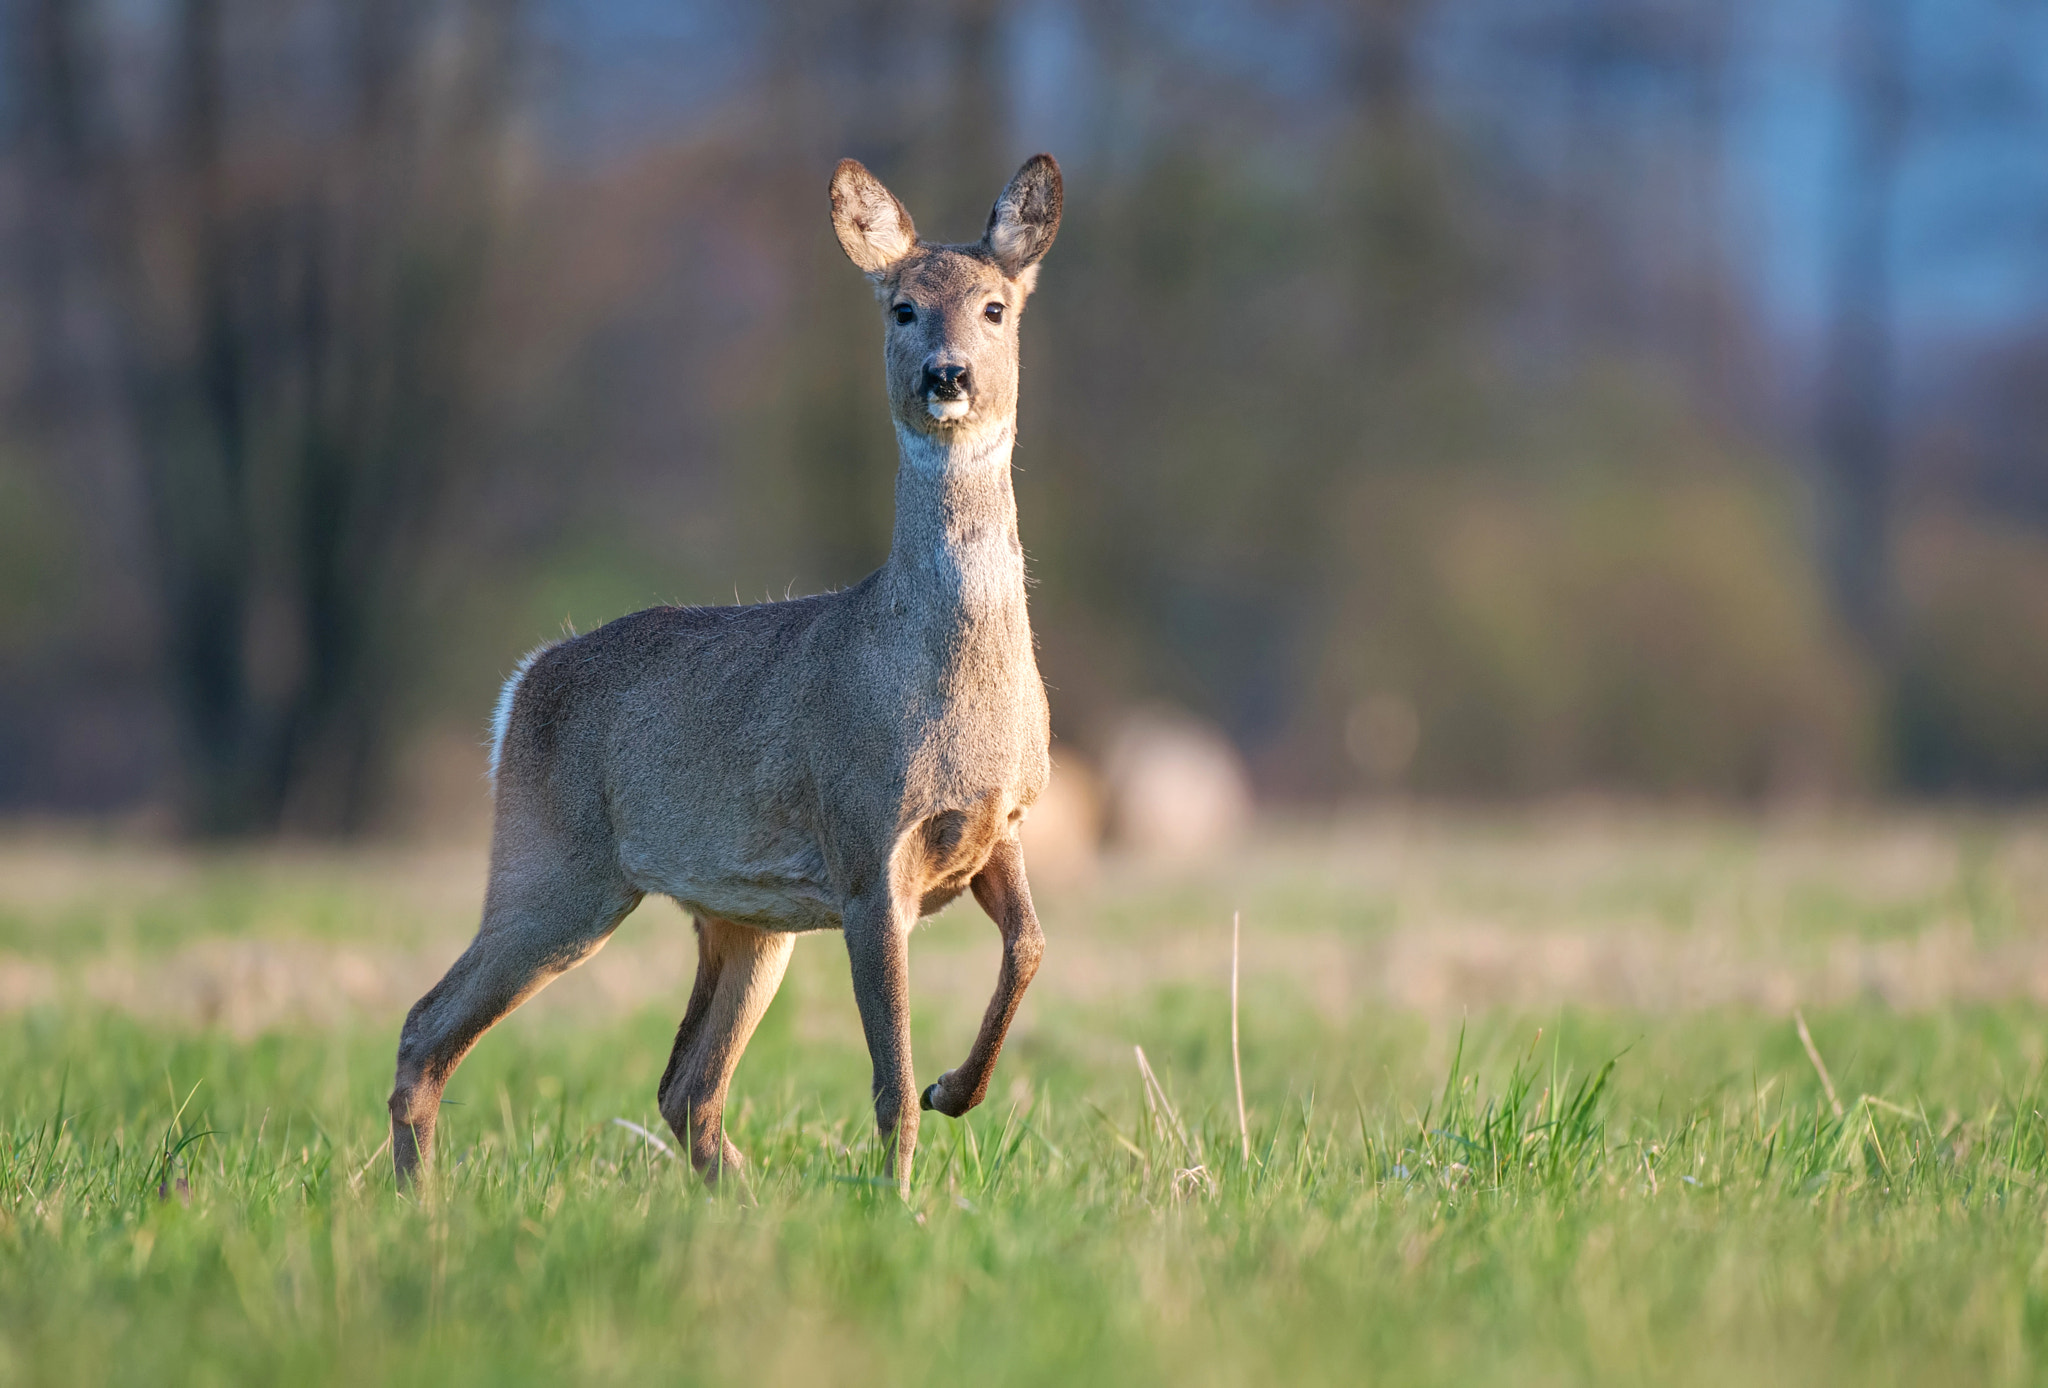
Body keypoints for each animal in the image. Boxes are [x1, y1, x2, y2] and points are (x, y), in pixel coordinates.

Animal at [387, 154, 1063, 1200]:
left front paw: (958, 1089)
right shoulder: (864, 843)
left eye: (995, 307)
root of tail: (525, 681)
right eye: (903, 308)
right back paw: (422, 1206)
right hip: (556, 864)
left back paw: (744, 1198)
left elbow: (1029, 948)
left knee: (686, 1086)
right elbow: (889, 1074)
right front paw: (900, 1195)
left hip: (742, 918)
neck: (947, 684)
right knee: (427, 1028)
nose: (946, 375)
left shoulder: (1002, 822)